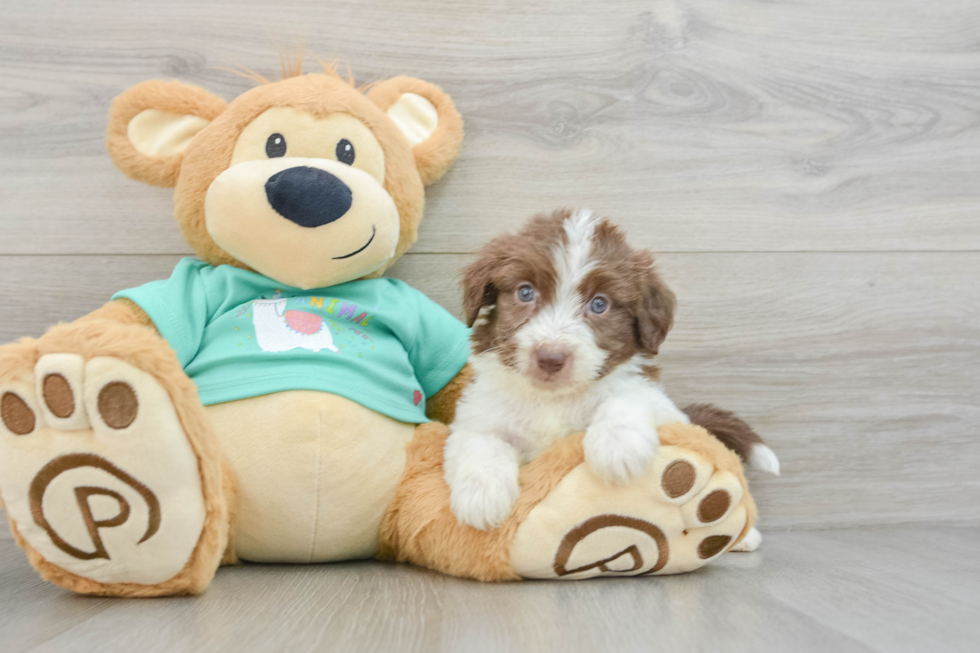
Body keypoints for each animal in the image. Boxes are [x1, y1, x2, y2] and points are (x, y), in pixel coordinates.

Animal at [446, 209, 780, 544]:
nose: (551, 358)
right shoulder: (477, 414)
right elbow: (480, 440)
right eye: (525, 292)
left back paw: (745, 538)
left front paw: (617, 445)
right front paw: (482, 495)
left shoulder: (658, 402)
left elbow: (628, 395)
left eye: (599, 304)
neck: (552, 400)